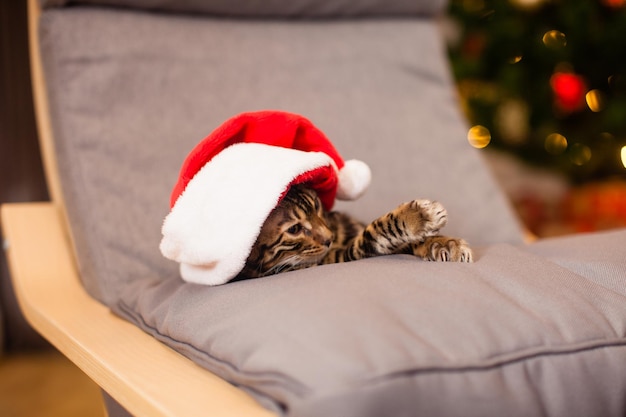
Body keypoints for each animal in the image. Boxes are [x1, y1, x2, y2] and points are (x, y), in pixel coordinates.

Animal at [236, 184, 470, 278]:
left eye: (317, 205)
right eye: (294, 229)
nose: (329, 238)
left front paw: (443, 243)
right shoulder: (340, 256)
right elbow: (373, 234)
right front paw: (416, 217)